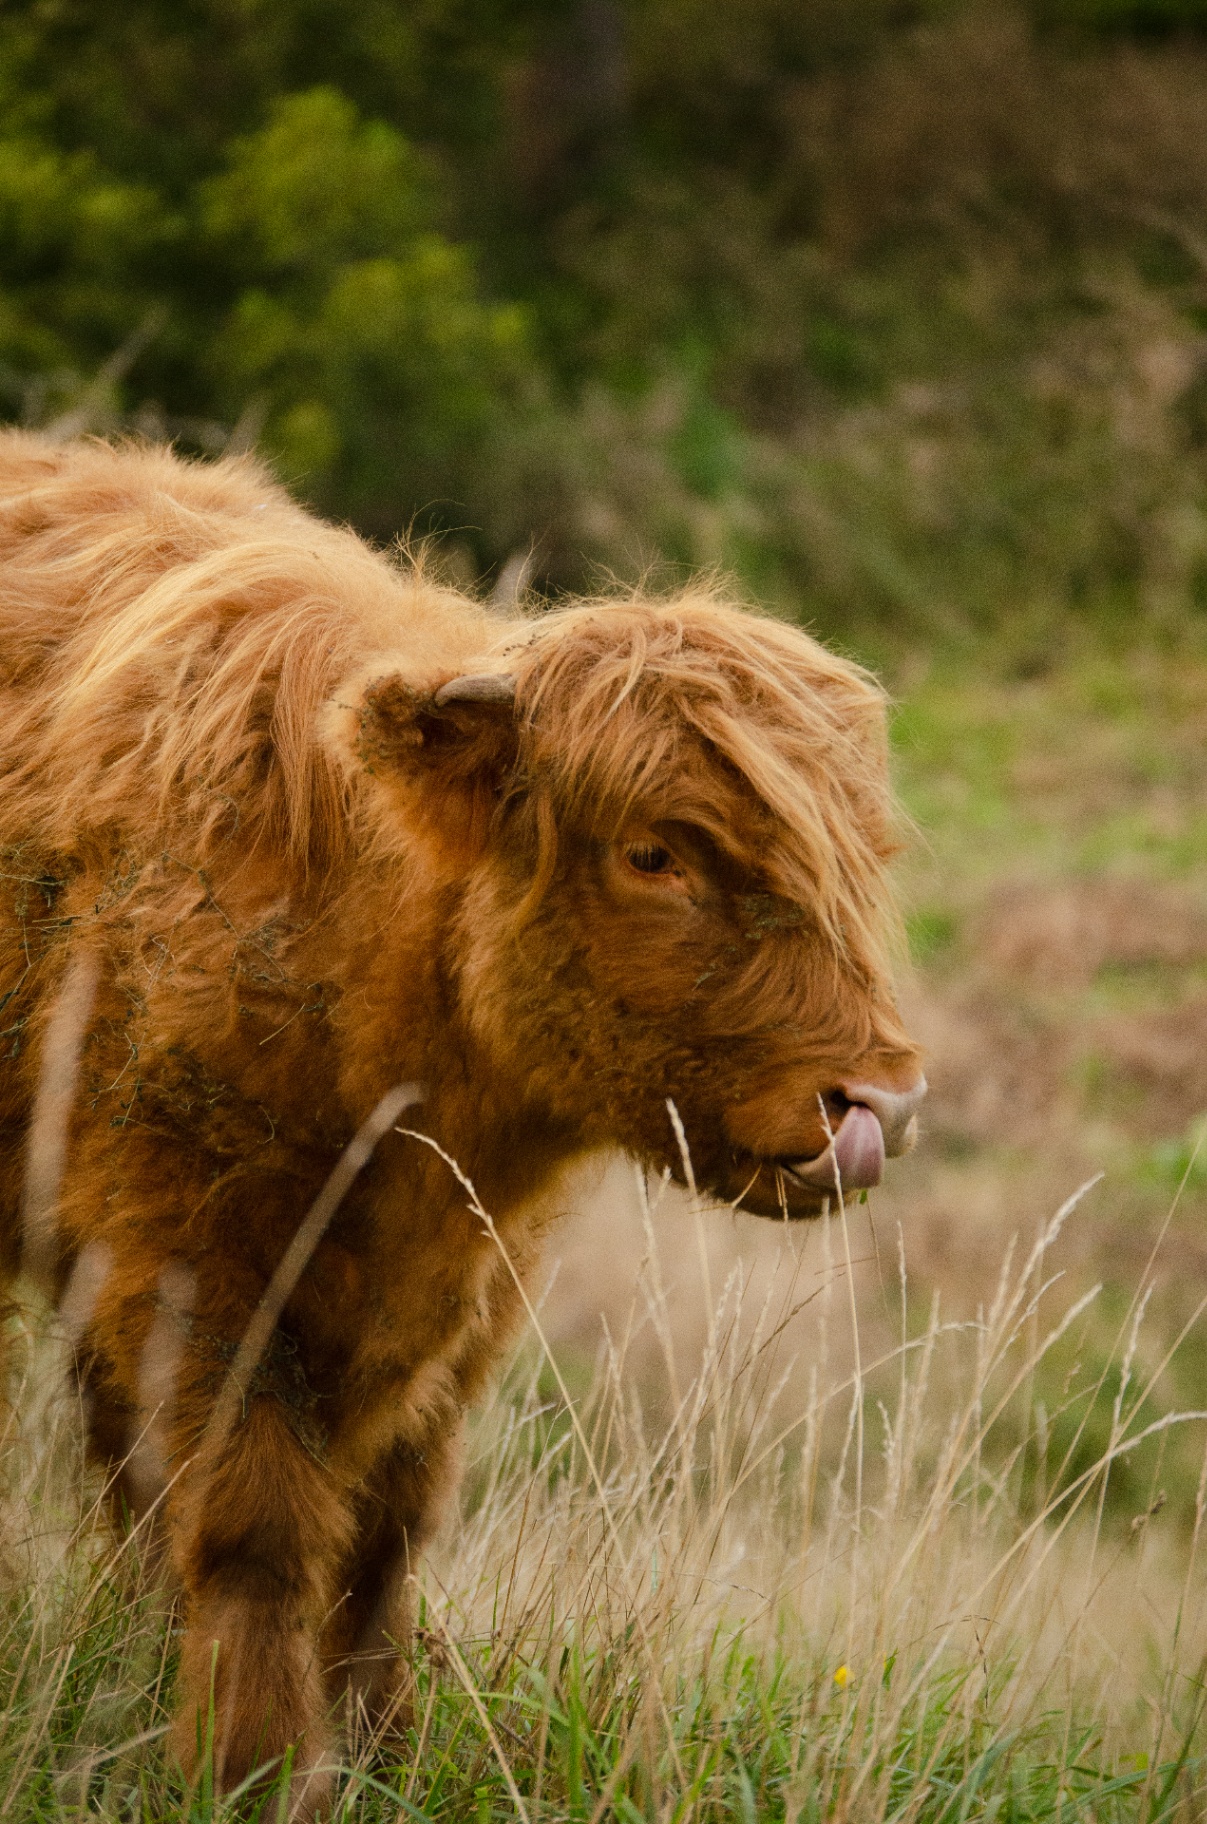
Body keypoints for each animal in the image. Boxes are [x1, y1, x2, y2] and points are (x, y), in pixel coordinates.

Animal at [0, 432, 924, 1805]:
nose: (880, 1102)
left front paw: (385, 1748)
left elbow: (384, 1537)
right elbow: (253, 1528)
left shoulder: (471, 1289)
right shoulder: (190, 1262)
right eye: (656, 855)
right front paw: (254, 1770)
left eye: (860, 858)